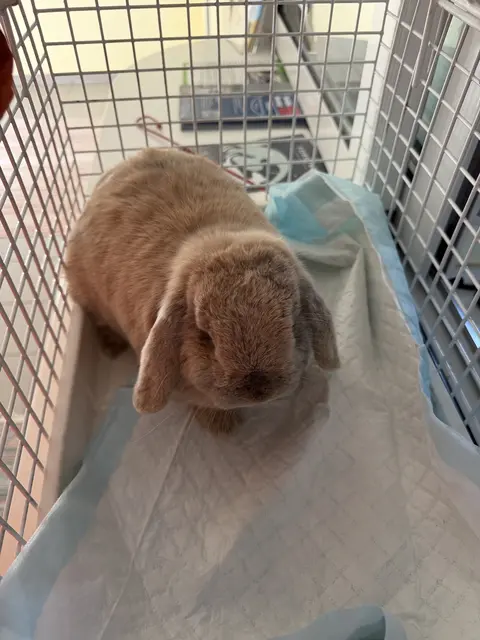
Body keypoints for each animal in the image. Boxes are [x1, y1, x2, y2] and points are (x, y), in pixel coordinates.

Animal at [65, 148, 340, 433]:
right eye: (204, 336)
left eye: (293, 324)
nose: (258, 390)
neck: (218, 238)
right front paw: (223, 427)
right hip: (85, 291)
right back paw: (112, 346)